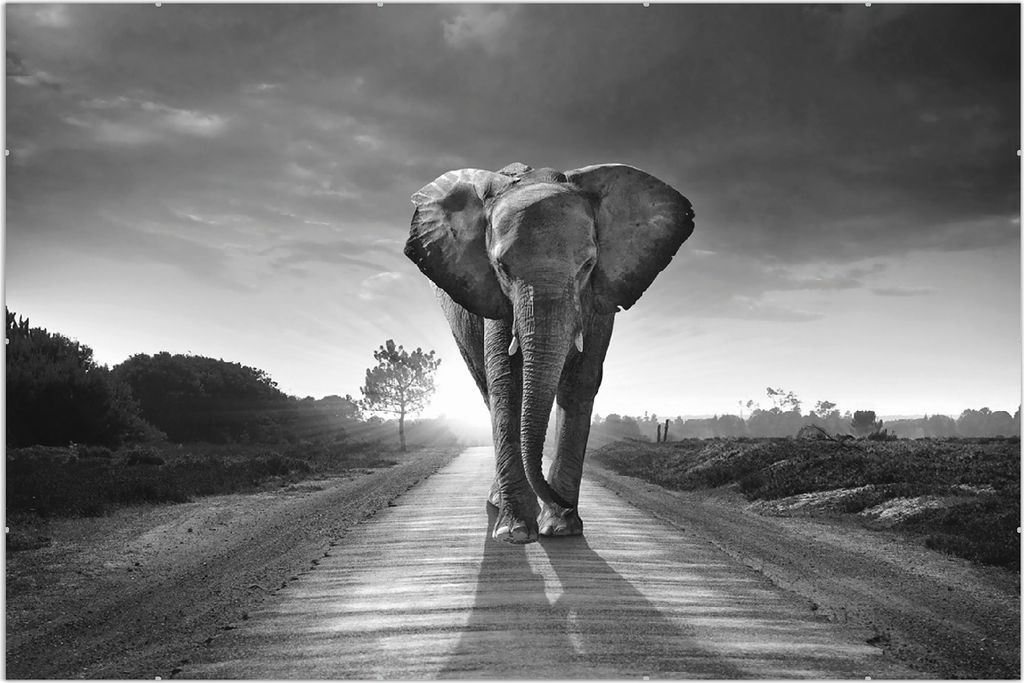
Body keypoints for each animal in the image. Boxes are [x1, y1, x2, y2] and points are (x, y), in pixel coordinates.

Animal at [405, 162, 694, 544]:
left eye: (588, 265)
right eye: (502, 267)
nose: (562, 503)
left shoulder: (599, 298)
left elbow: (580, 383)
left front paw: (561, 528)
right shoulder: (495, 299)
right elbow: (506, 383)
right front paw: (515, 532)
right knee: (486, 389)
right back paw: (499, 503)